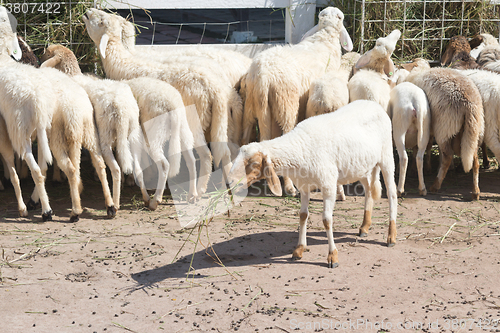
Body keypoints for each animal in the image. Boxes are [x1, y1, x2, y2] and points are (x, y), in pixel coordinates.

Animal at [229, 98, 398, 268]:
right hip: (361, 167)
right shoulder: (304, 187)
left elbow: (327, 220)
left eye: (255, 163)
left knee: (392, 194)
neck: (300, 147)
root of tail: (372, 103)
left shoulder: (328, 185)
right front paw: (299, 249)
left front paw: (332, 256)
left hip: (386, 156)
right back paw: (364, 227)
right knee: (369, 190)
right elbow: (303, 215)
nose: (230, 181)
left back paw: (391, 236)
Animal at [241, 6, 352, 196]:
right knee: (286, 137)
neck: (325, 36)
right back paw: (290, 187)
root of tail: (263, 76)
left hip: (252, 104)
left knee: (247, 133)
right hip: (286, 104)